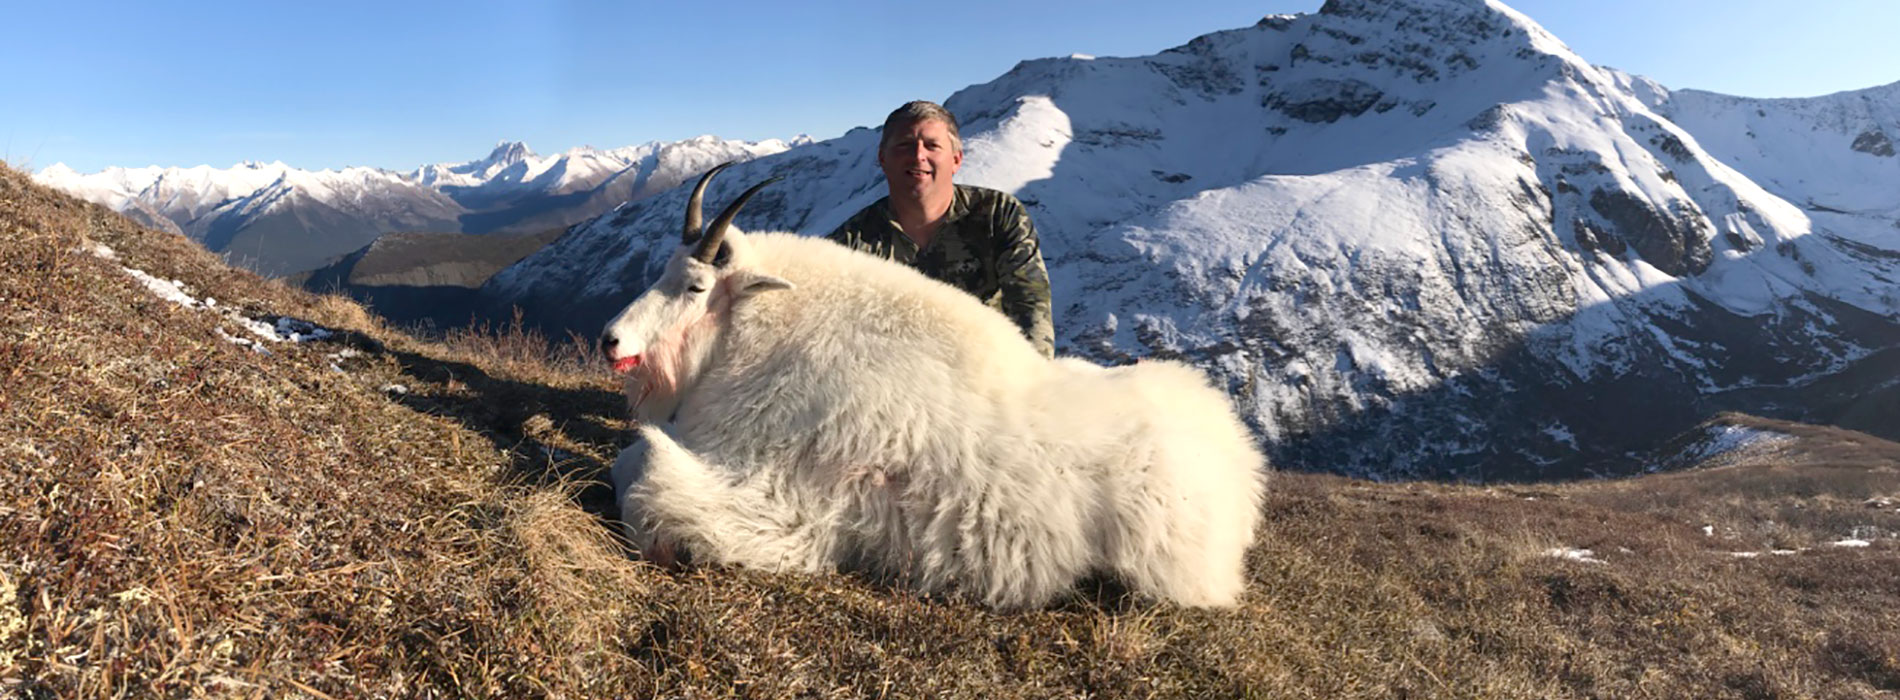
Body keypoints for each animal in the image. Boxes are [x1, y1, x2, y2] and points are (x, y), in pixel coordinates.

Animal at [600, 162, 1269, 608]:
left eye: (694, 286)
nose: (611, 340)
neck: (764, 341)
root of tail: (1240, 458)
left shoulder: (776, 501)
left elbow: (640, 479)